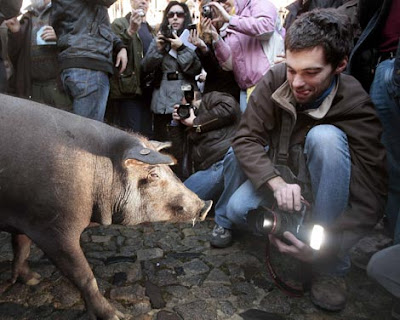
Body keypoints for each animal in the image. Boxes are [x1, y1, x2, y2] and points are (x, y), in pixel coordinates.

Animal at [0, 94, 212, 320]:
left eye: (169, 171)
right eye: (154, 174)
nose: (206, 204)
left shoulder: (27, 215)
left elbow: (22, 247)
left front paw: (33, 279)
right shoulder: (53, 228)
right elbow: (83, 275)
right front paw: (117, 316)